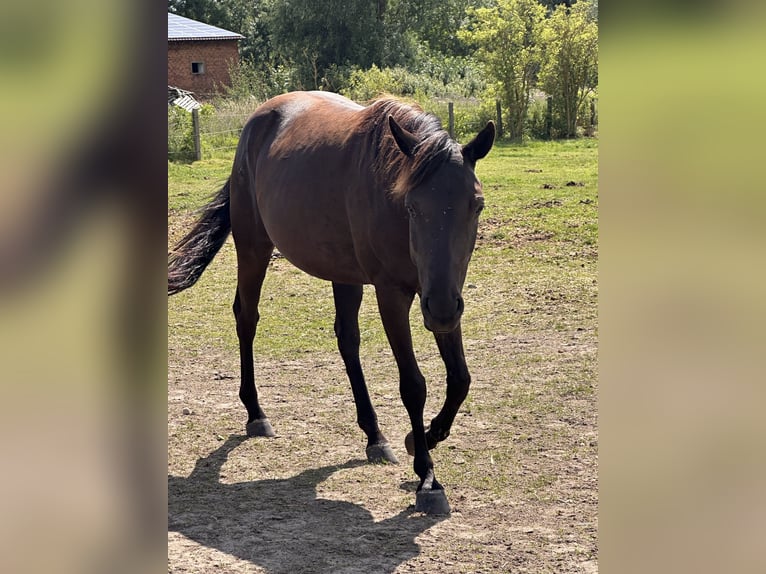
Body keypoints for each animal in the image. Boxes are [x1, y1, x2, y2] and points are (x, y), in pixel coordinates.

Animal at [168, 91, 494, 514]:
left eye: (477, 205)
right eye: (411, 206)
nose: (439, 309)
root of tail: (257, 122)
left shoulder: (442, 295)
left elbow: (459, 379)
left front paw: (422, 436)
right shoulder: (394, 294)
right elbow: (413, 385)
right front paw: (428, 478)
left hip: (347, 275)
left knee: (347, 341)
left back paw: (374, 435)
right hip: (253, 246)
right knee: (247, 318)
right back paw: (256, 414)